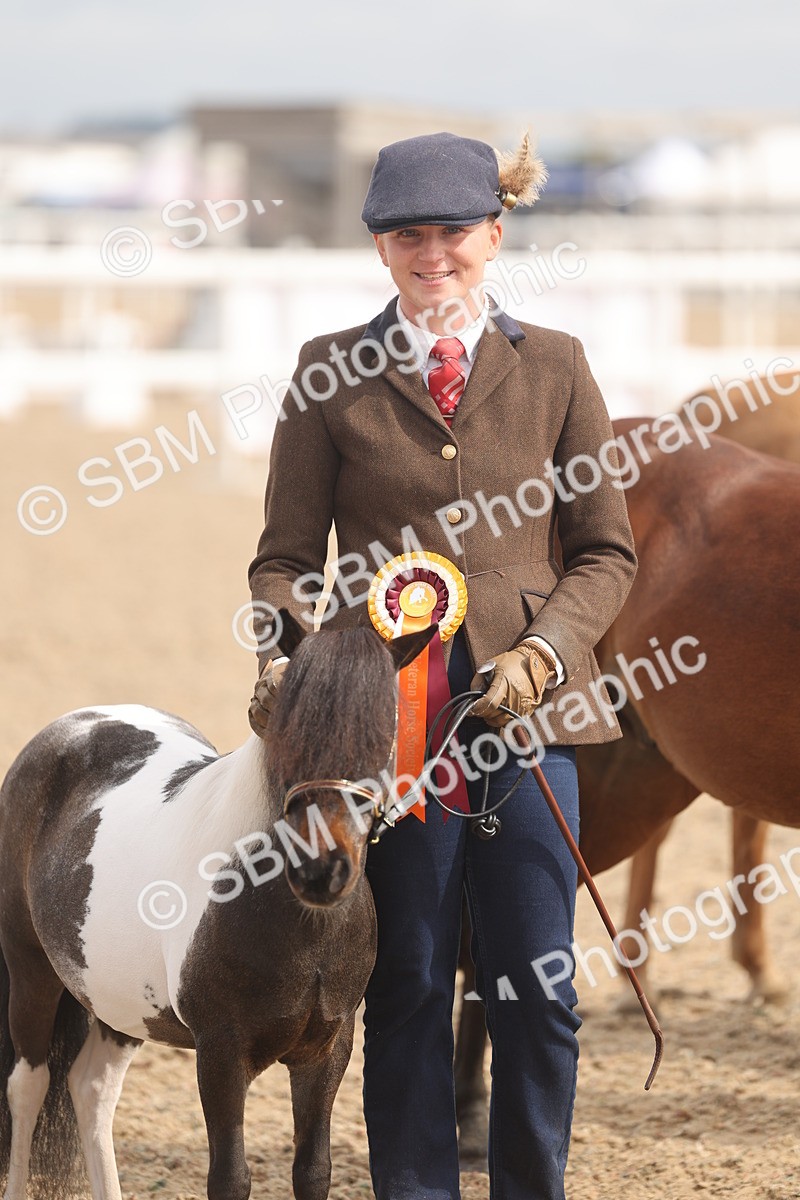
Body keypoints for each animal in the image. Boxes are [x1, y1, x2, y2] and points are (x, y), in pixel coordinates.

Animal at [0, 611, 434, 1200]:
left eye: (385, 728)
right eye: (288, 725)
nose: (321, 870)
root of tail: (74, 725)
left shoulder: (327, 1050)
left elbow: (313, 1170)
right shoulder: (221, 1054)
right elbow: (229, 1176)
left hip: (119, 1001)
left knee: (90, 1089)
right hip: (31, 971)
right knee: (29, 1087)